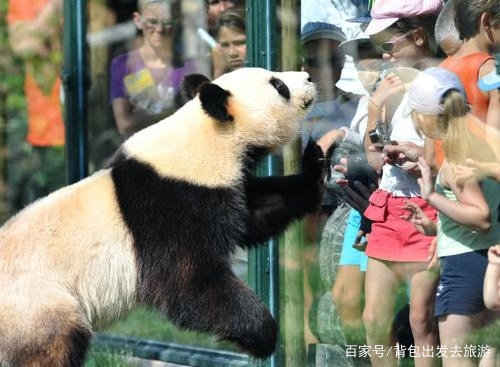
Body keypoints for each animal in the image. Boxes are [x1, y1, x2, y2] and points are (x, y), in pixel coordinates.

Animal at [0, 67, 324, 366]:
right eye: (278, 85)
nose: (309, 77)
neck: (207, 138)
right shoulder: (171, 205)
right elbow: (187, 283)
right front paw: (261, 336)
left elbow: (254, 214)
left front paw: (317, 167)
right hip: (37, 307)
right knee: (54, 345)